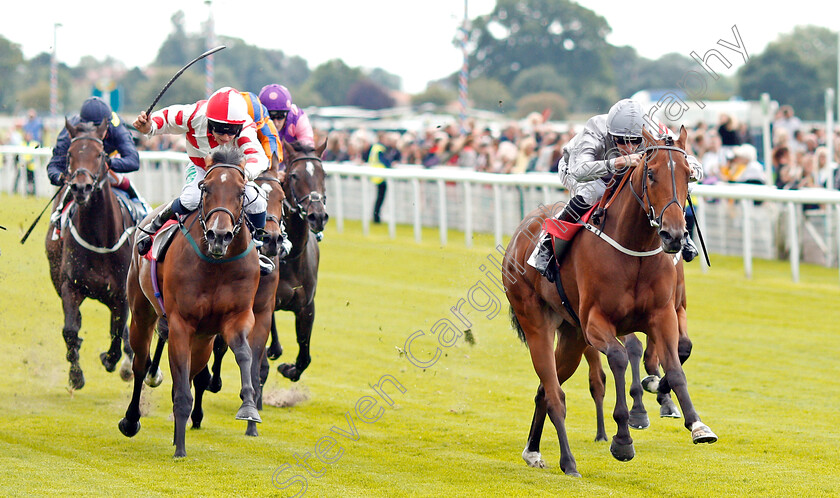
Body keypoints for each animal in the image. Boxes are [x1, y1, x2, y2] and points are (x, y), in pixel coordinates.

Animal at [46, 118, 136, 392]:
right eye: (70, 154)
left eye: (100, 154)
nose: (80, 187)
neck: (99, 238)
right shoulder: (70, 286)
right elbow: (70, 329)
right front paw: (76, 375)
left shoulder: (121, 294)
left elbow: (117, 333)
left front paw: (111, 359)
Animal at [120, 146, 260, 458]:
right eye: (206, 188)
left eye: (241, 192)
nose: (219, 236)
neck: (216, 264)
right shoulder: (180, 323)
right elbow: (179, 387)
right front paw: (181, 450)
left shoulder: (237, 317)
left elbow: (244, 354)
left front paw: (249, 406)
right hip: (142, 313)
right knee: (140, 364)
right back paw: (131, 420)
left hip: (203, 339)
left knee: (192, 372)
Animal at [506, 126, 716, 476]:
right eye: (651, 173)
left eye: (688, 174)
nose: (673, 235)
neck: (635, 248)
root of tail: (521, 231)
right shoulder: (597, 322)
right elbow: (619, 357)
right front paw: (623, 437)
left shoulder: (665, 314)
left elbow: (676, 365)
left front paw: (696, 424)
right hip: (536, 322)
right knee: (554, 393)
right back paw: (568, 462)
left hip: (572, 336)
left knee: (544, 390)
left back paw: (533, 450)